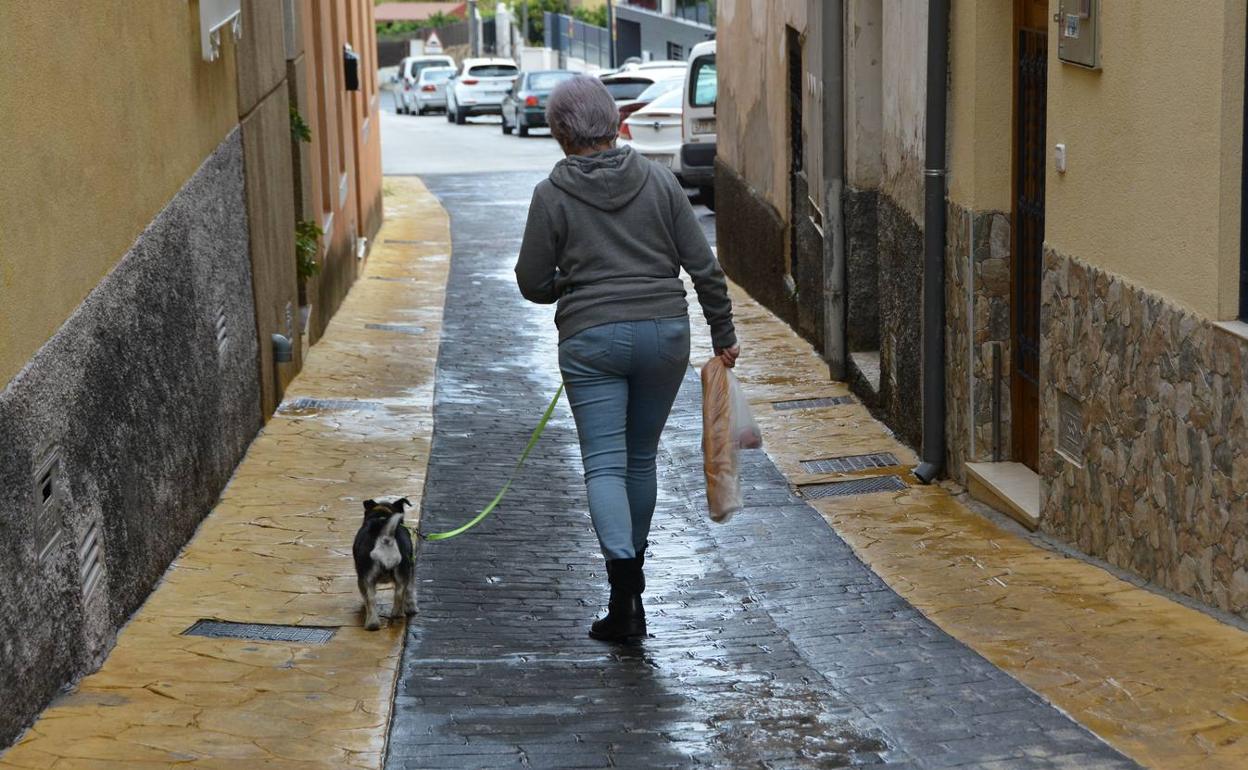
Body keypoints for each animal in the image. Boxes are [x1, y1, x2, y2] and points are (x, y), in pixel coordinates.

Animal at [351, 499, 419, 631]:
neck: (382, 514)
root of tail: (386, 538)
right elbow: (409, 590)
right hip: (401, 572)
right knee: (397, 594)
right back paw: (391, 617)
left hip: (366, 577)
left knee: (371, 599)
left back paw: (373, 623)